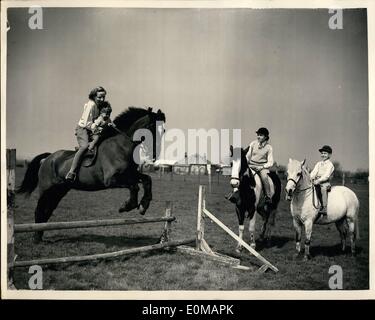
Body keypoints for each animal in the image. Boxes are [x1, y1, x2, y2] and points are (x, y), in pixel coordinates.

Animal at [17, 106, 164, 241]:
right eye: (151, 127)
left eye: (163, 130)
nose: (155, 154)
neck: (122, 146)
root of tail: (48, 158)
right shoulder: (112, 179)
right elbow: (134, 186)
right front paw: (126, 206)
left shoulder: (131, 174)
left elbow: (147, 180)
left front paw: (144, 205)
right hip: (46, 189)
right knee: (40, 209)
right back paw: (36, 237)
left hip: (59, 190)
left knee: (48, 210)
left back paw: (40, 235)